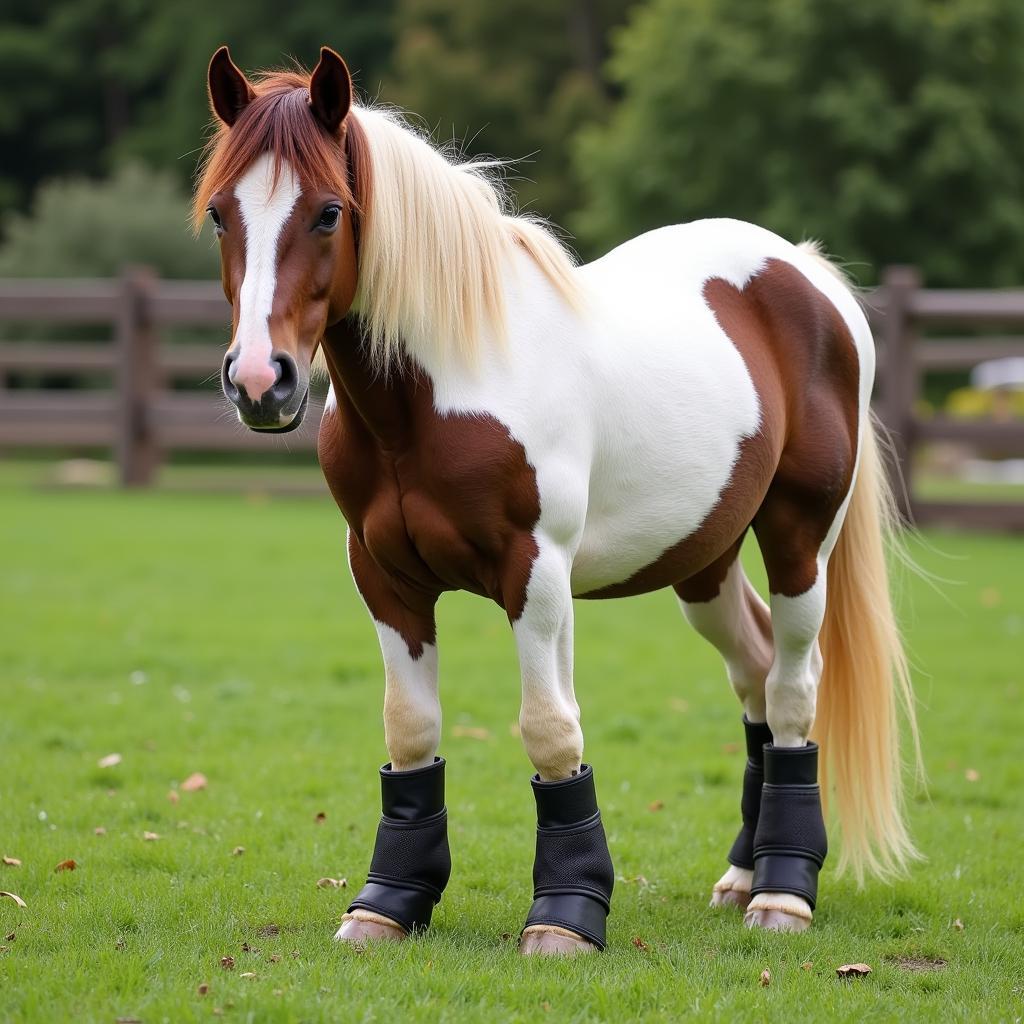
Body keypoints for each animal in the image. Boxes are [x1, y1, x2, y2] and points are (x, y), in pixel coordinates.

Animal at [193, 44, 921, 954]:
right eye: (220, 214)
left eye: (328, 213)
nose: (262, 381)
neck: (443, 389)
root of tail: (808, 272)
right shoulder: (385, 578)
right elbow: (411, 729)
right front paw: (386, 905)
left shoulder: (534, 577)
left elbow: (550, 731)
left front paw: (566, 916)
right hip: (705, 562)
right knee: (753, 673)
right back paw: (741, 875)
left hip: (798, 542)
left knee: (791, 689)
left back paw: (782, 894)